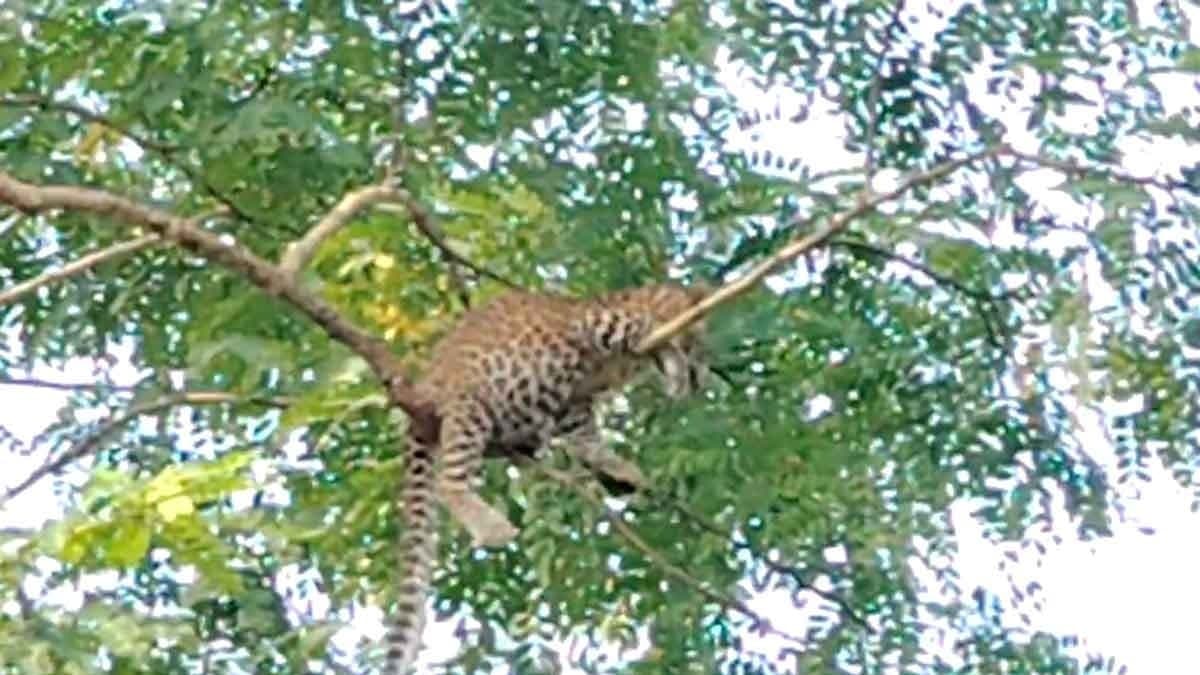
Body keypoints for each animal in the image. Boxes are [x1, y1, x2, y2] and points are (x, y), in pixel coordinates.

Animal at [385, 282, 709, 674]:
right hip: (470, 404)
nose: (701, 380)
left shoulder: (576, 405)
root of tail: (420, 394)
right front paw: (676, 358)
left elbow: (589, 441)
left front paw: (617, 469)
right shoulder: (598, 324)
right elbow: (644, 329)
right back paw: (492, 527)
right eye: (700, 343)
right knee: (451, 481)